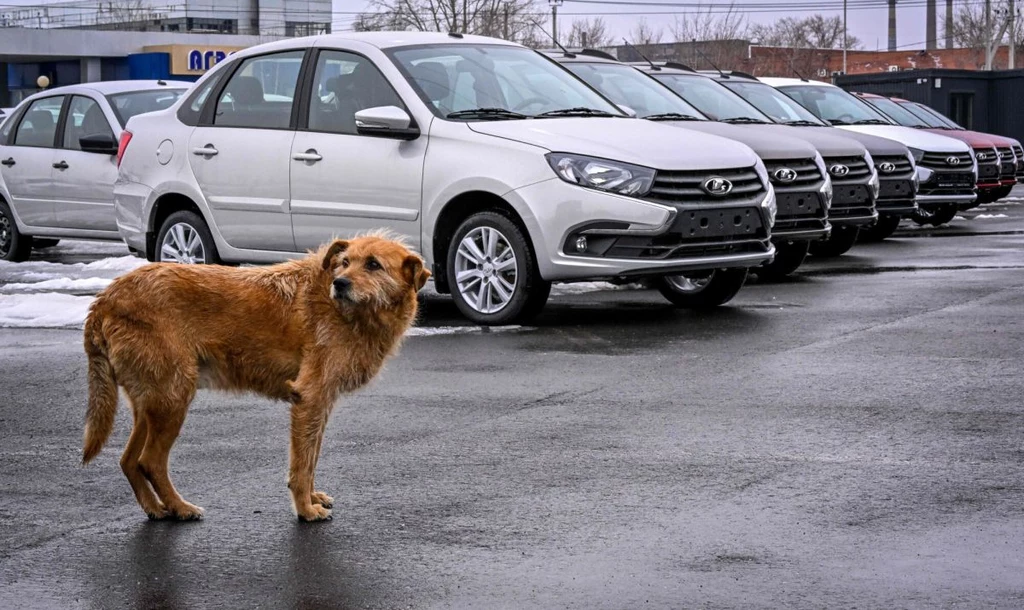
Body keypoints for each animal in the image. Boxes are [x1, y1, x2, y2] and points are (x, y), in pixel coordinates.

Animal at [80, 233, 428, 519]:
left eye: (373, 265)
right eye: (344, 263)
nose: (340, 283)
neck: (351, 314)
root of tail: (105, 298)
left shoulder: (321, 403)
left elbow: (312, 456)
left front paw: (313, 497)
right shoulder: (310, 397)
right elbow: (302, 463)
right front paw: (305, 509)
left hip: (152, 402)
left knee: (128, 460)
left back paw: (155, 508)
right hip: (173, 397)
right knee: (149, 461)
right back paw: (180, 508)